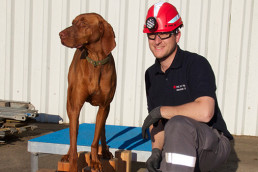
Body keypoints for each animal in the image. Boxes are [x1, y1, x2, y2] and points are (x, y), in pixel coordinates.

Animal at [59, 13, 116, 172]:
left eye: (84, 24)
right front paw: (72, 162)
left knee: (102, 128)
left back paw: (105, 151)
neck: (95, 61)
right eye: (73, 22)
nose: (60, 34)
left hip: (107, 108)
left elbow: (96, 139)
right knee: (73, 132)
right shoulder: (75, 107)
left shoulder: (104, 106)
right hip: (70, 103)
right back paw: (67, 155)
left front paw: (95, 160)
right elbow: (74, 143)